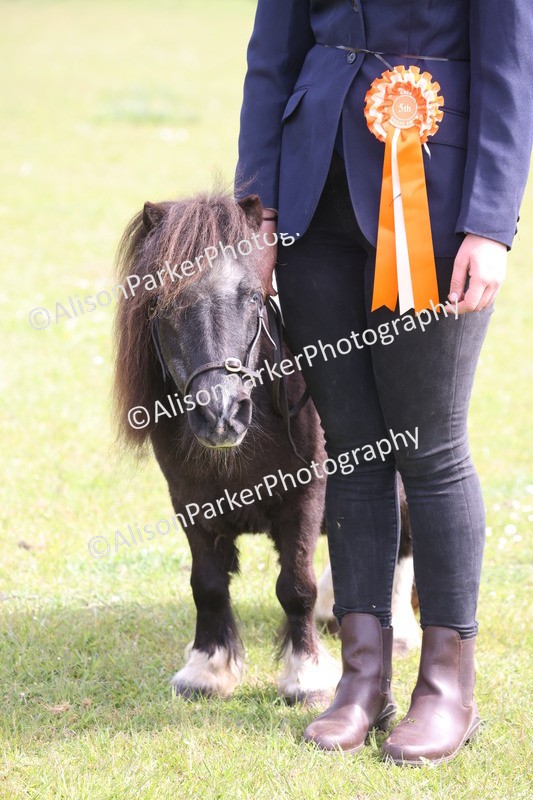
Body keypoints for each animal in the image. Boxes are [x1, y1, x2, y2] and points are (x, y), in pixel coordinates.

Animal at [113, 189, 419, 704]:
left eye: (253, 296)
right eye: (161, 300)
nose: (220, 413)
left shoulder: (305, 498)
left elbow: (296, 586)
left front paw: (306, 676)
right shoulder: (188, 502)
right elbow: (208, 585)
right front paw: (207, 669)